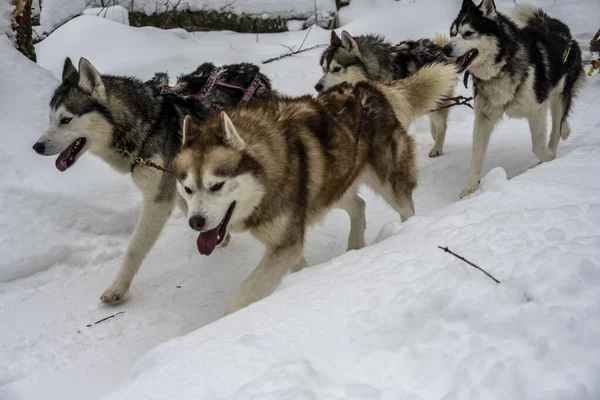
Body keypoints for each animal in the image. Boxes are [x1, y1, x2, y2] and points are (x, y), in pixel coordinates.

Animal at [31, 57, 274, 304]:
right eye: (50, 119)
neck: (145, 127)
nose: (37, 147)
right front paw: (219, 234)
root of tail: (255, 72)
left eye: (66, 120)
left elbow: (134, 248)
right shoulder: (177, 188)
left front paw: (118, 288)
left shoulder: (157, 200)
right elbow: (193, 209)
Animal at [171, 62, 458, 314]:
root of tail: (370, 89)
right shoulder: (286, 242)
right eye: (187, 189)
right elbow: (296, 264)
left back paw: (406, 232)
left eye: (216, 185)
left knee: (406, 207)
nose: (195, 222)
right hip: (331, 183)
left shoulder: (286, 244)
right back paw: (355, 246)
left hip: (387, 183)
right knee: (358, 205)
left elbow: (247, 291)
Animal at [314, 30, 454, 158]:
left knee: (442, 125)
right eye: (324, 68)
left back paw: (437, 148)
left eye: (336, 69)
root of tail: (437, 48)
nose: (317, 87)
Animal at [442, 0, 584, 198]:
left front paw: (548, 160)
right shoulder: (483, 117)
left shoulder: (537, 110)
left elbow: (538, 147)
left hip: (559, 96)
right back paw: (566, 129)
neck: (502, 65)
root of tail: (555, 24)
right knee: (561, 122)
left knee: (556, 126)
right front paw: (470, 187)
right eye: (452, 33)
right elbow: (477, 152)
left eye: (468, 33)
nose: (445, 48)